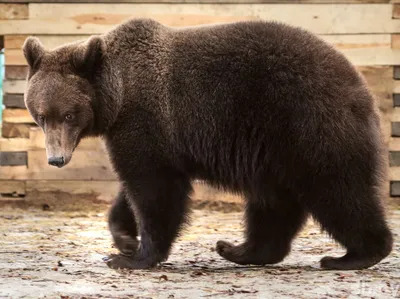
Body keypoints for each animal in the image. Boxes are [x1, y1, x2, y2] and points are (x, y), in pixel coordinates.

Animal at [21, 18, 390, 272]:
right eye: (41, 115)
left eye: (68, 114)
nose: (56, 159)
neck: (117, 95)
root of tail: (360, 87)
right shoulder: (143, 135)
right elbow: (135, 187)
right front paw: (124, 239)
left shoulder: (146, 121)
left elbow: (154, 189)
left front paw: (134, 256)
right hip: (274, 150)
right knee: (274, 202)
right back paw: (239, 249)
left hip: (308, 125)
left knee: (338, 191)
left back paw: (354, 255)